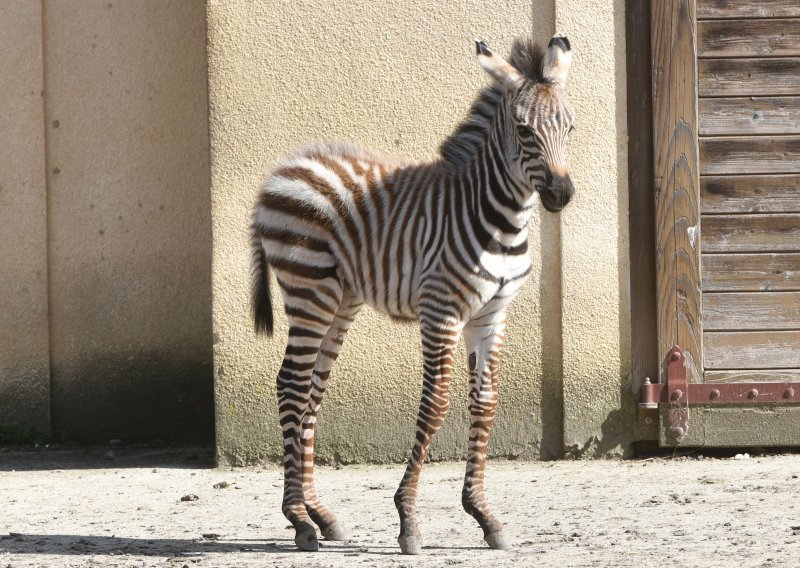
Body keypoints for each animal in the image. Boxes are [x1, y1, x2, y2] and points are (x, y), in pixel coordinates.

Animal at [250, 34, 576, 556]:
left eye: (571, 126)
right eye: (524, 130)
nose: (562, 194)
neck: (502, 221)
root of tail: (282, 169)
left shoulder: (491, 315)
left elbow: (485, 402)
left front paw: (484, 516)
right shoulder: (441, 310)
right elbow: (436, 403)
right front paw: (408, 521)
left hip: (341, 300)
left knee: (313, 392)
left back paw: (321, 515)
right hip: (309, 292)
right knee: (291, 386)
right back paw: (298, 520)